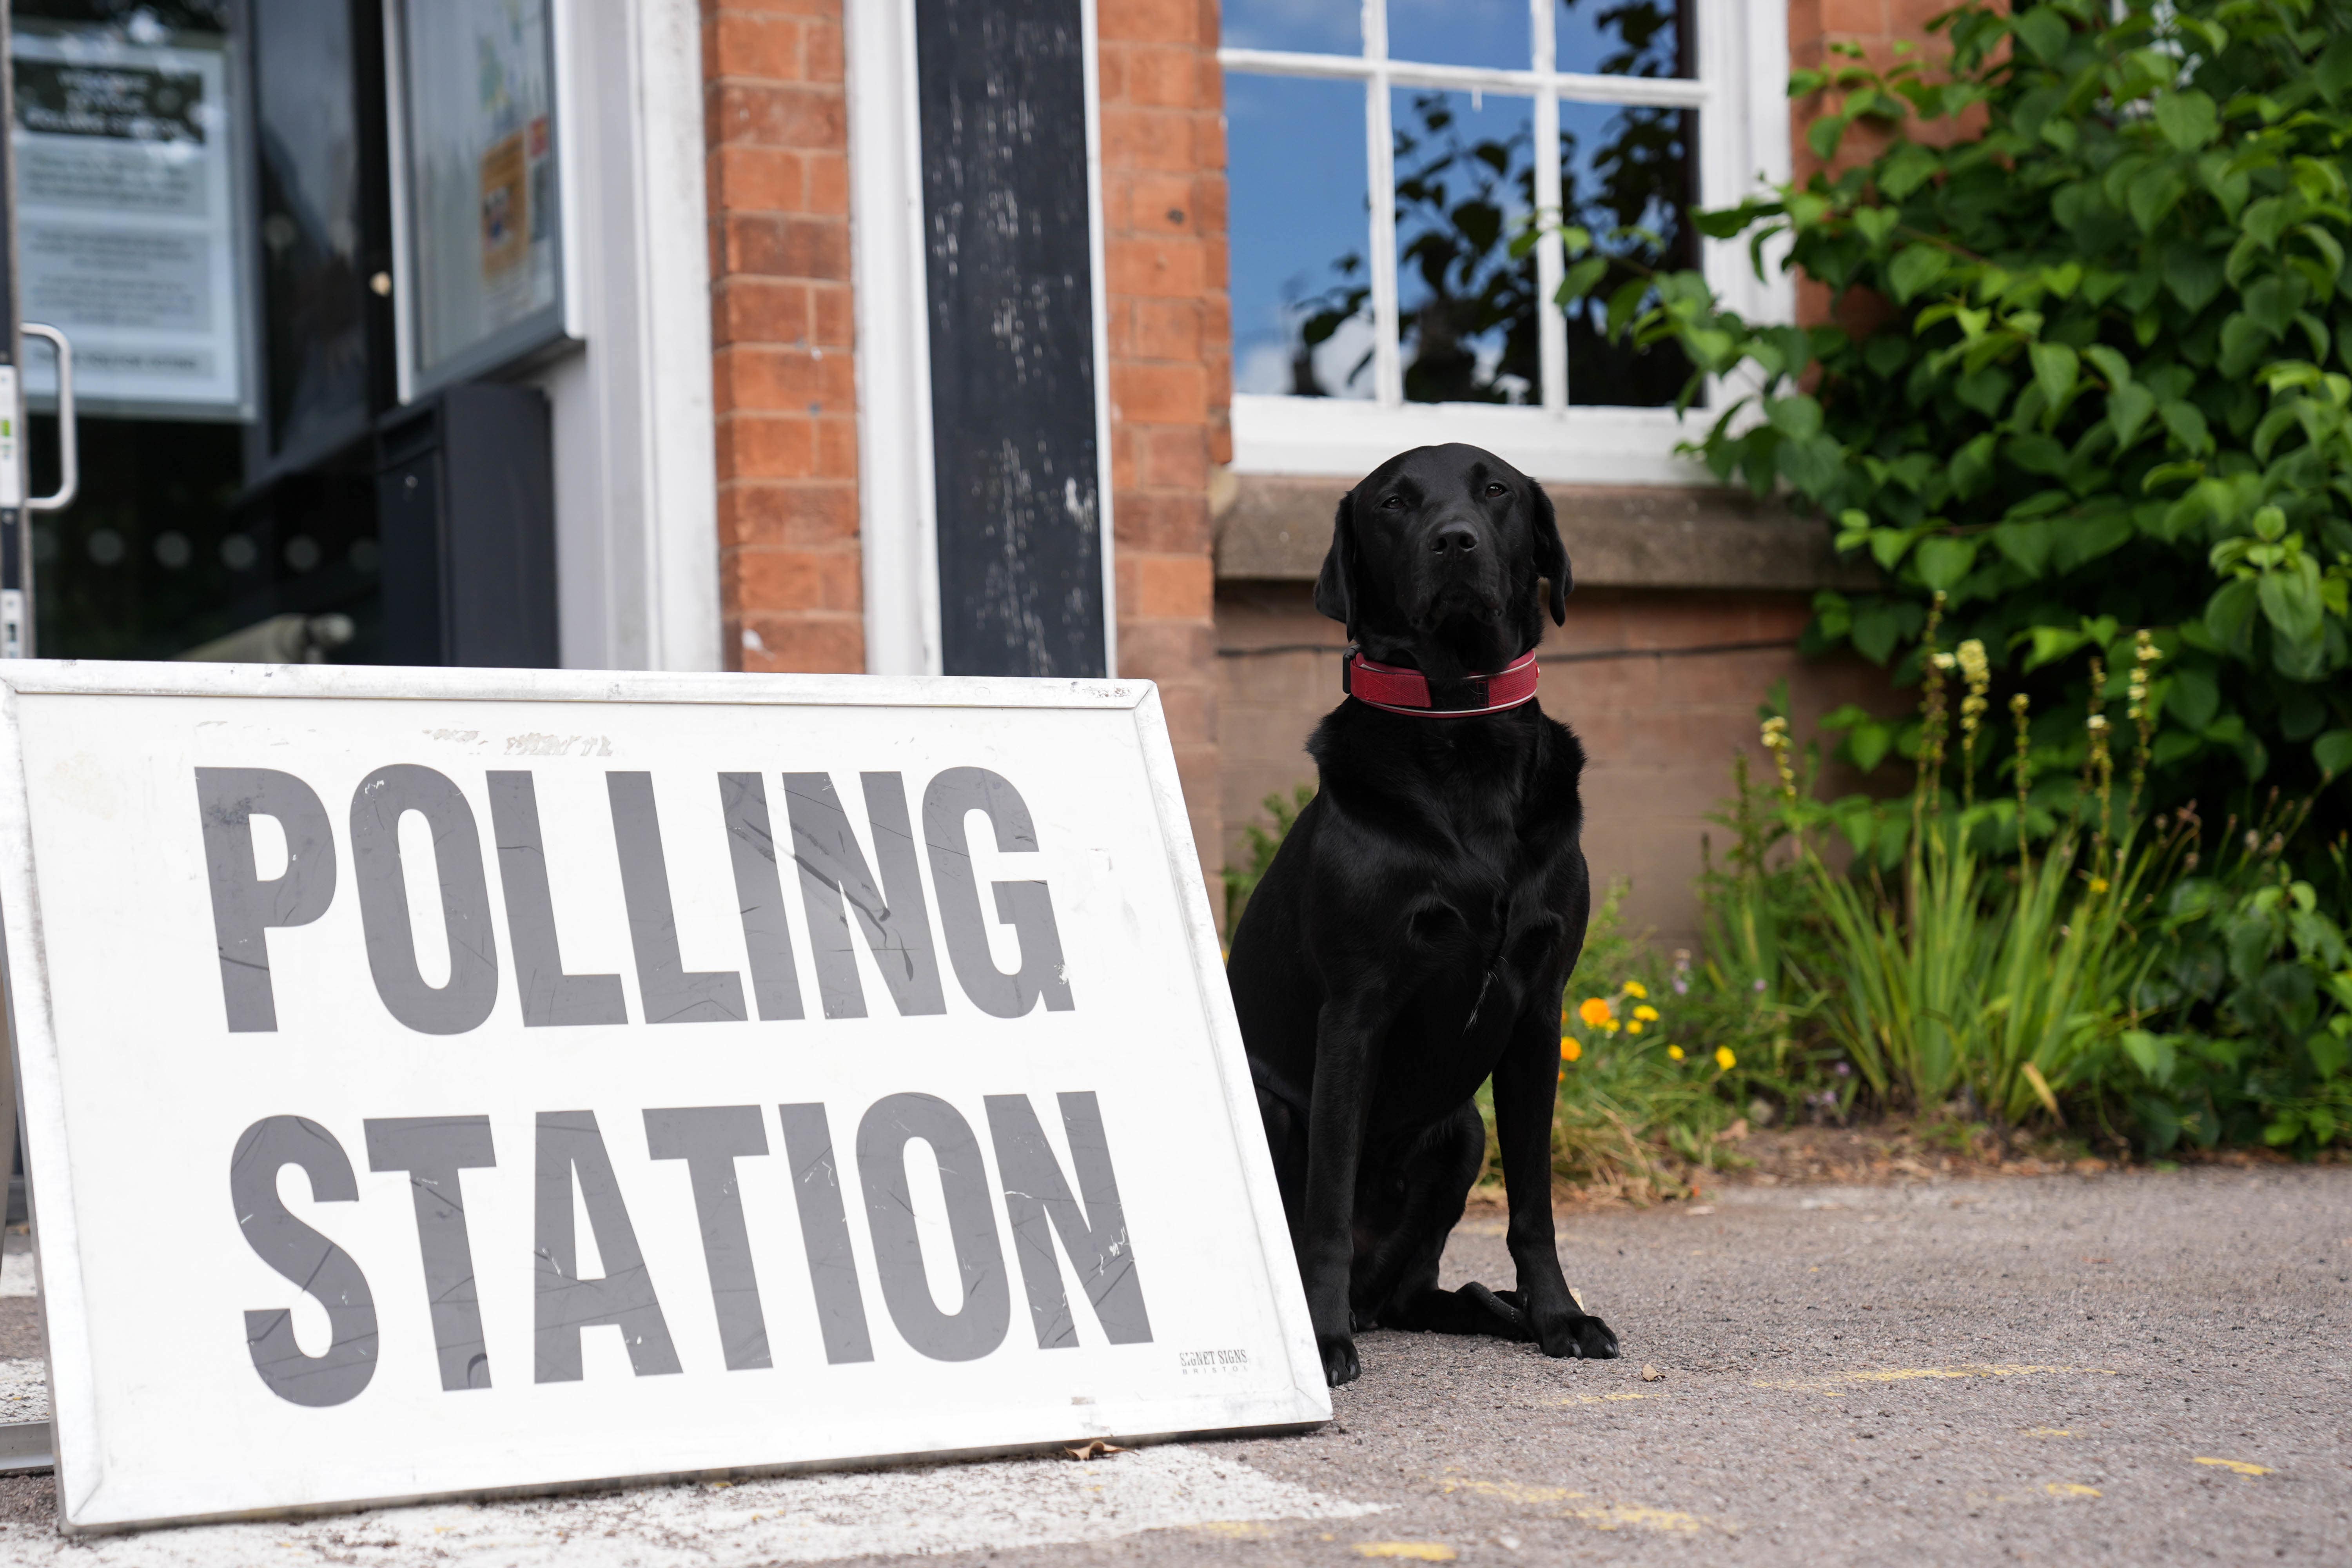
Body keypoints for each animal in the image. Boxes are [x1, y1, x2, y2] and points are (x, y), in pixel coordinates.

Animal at [1232, 442, 1618, 1382]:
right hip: (1271, 1105)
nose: (1454, 542)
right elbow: (1326, 1204)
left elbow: (1534, 1204)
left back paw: (1492, 1309)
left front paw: (1558, 1315)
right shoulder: (1356, 1010)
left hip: (1462, 1131)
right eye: (1394, 503)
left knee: (1422, 1293)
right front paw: (1321, 1341)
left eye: (1497, 490)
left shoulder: (1541, 1008)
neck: (1463, 732)